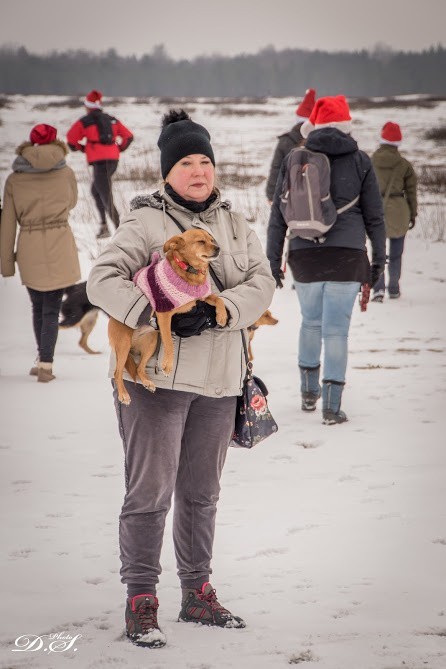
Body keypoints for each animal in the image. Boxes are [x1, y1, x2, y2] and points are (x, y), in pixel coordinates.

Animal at [108, 230, 226, 404]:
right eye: (201, 241)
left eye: (212, 240)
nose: (218, 248)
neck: (189, 270)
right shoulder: (164, 315)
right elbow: (170, 343)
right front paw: (167, 365)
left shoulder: (202, 298)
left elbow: (218, 299)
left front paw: (222, 316)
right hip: (123, 344)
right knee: (117, 372)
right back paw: (123, 394)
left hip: (151, 342)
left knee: (139, 368)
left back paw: (148, 382)